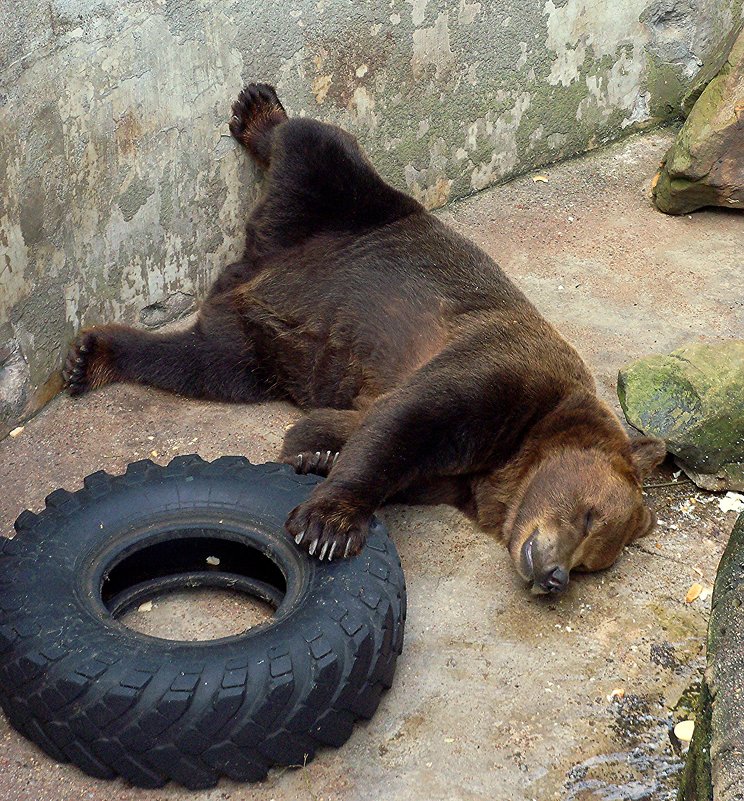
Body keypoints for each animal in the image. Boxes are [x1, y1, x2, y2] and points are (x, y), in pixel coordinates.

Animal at [64, 81, 664, 592]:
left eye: (594, 562)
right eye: (589, 516)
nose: (556, 575)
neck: (512, 459)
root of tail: (250, 268)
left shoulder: (457, 470)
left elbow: (363, 431)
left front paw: (316, 453)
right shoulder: (503, 371)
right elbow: (411, 421)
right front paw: (327, 527)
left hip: (252, 352)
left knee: (197, 363)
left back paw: (92, 356)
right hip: (344, 209)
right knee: (318, 146)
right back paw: (258, 110)